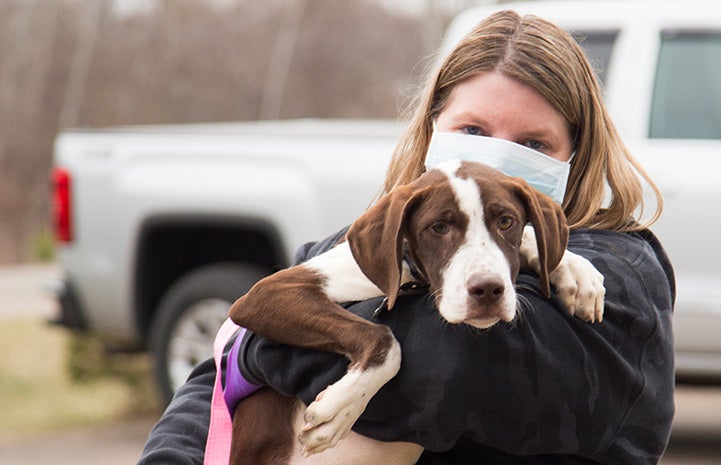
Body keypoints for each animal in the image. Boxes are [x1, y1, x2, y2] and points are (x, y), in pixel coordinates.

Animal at [228, 160, 604, 464]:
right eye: (438, 227)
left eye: (506, 221)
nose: (487, 290)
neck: (411, 275)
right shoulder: (269, 293)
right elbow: (385, 339)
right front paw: (341, 407)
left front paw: (576, 271)